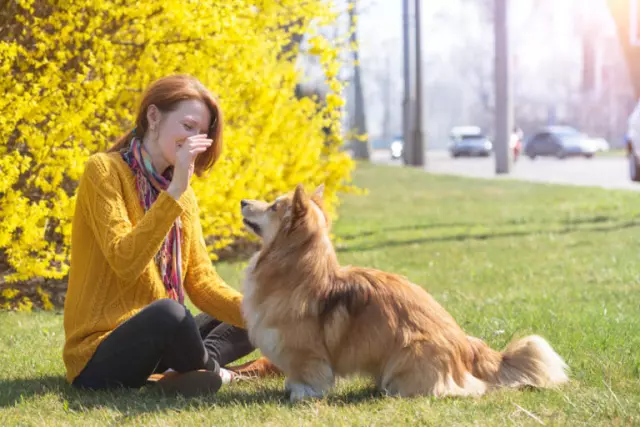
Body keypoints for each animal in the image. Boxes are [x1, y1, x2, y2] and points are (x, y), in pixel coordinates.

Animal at [239, 186, 564, 402]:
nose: (242, 200)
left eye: (273, 207)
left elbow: (307, 378)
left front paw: (300, 395)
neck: (296, 268)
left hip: (411, 353)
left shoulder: (305, 353)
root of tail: (466, 347)